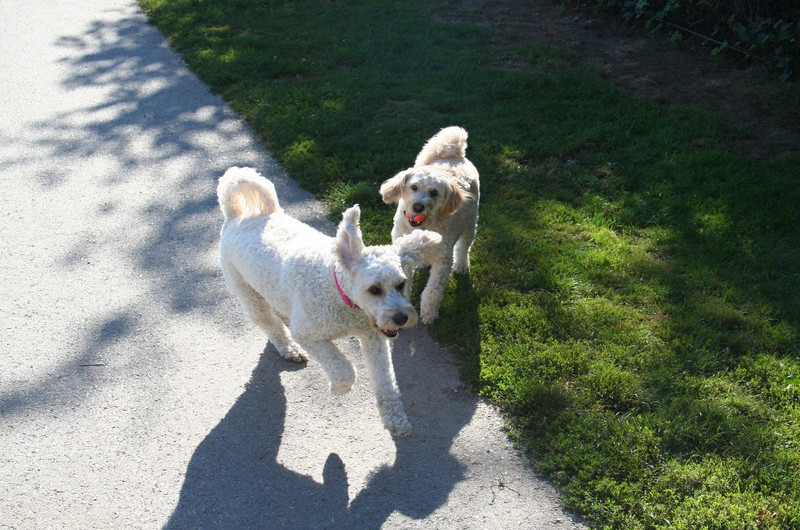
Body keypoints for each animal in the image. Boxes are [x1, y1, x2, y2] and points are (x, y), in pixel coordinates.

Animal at [219, 166, 440, 434]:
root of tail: (236, 215)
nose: (401, 318)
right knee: (271, 324)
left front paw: (395, 419)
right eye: (374, 290)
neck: (340, 294)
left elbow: (385, 381)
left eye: (401, 284)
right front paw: (338, 389)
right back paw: (289, 348)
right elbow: (343, 368)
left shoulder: (374, 338)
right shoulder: (309, 335)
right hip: (247, 291)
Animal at [382, 126, 482, 324]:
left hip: (470, 223)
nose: (418, 206)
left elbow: (433, 290)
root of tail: (455, 155)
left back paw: (461, 265)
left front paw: (428, 313)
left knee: (464, 247)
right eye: (413, 187)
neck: (421, 228)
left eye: (434, 192)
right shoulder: (402, 253)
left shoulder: (443, 259)